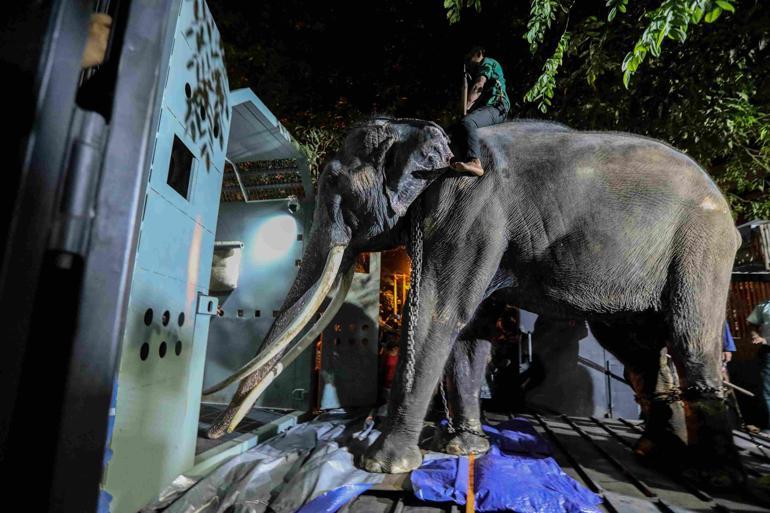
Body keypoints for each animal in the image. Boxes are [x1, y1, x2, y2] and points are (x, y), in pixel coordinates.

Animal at [202, 118, 736, 486]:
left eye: (333, 181)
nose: (213, 435)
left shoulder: (466, 209)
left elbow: (440, 313)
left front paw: (381, 462)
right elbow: (470, 329)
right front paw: (461, 448)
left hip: (701, 243)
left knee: (691, 339)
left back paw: (712, 475)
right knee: (637, 351)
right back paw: (654, 451)